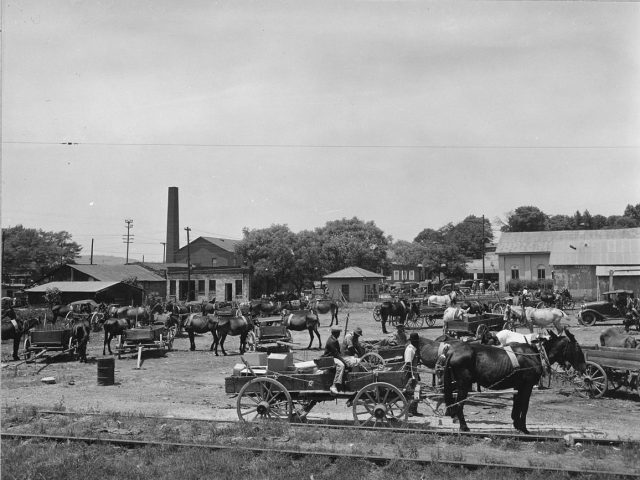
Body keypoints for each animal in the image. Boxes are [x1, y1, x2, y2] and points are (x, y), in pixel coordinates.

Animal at [442, 328, 588, 434]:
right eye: (578, 348)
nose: (584, 367)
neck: (537, 354)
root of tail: (452, 352)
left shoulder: (519, 385)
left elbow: (517, 404)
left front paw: (516, 424)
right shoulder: (527, 385)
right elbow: (524, 405)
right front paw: (524, 428)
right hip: (463, 383)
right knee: (459, 404)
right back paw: (464, 426)